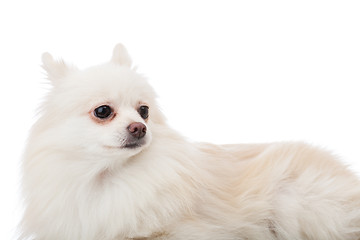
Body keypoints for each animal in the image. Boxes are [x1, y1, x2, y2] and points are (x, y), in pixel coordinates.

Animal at [19, 44, 360, 239]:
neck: (108, 176)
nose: (140, 127)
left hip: (298, 203)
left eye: (144, 110)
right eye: (103, 111)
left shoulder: (179, 231)